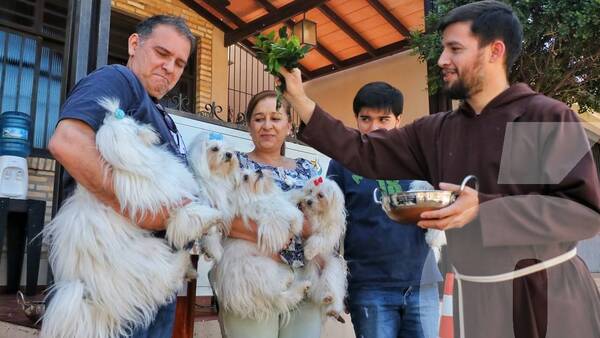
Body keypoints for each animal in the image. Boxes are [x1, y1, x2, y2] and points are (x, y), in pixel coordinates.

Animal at [41, 99, 223, 338]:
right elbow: (189, 214)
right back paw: (185, 263)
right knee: (165, 278)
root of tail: (91, 293)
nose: (146, 127)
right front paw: (214, 217)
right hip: (151, 254)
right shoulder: (167, 200)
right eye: (132, 124)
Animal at [211, 169, 310, 322]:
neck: (257, 195)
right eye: (245, 177)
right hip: (264, 267)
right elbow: (282, 211)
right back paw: (295, 282)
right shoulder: (267, 216)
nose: (258, 170)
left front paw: (301, 193)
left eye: (251, 170)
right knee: (280, 289)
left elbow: (287, 197)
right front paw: (296, 222)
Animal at [294, 177, 350, 322]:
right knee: (315, 289)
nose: (308, 201)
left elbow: (319, 239)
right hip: (311, 270)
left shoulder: (330, 230)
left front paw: (309, 251)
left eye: (320, 195)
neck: (318, 213)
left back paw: (330, 303)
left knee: (330, 285)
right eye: (310, 191)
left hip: (332, 269)